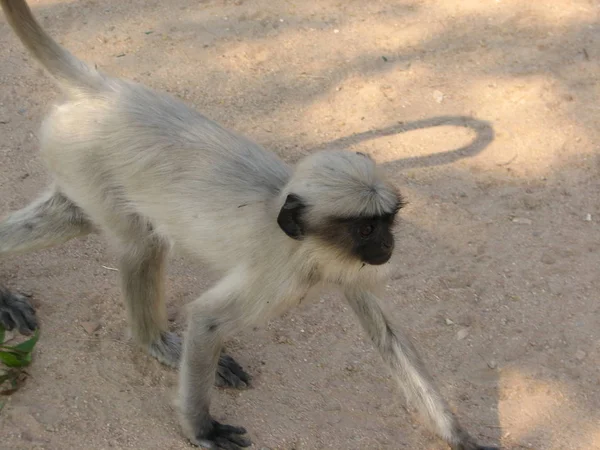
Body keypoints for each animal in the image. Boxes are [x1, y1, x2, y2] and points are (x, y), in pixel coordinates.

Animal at [0, 1, 496, 448]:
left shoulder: (347, 267)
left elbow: (388, 337)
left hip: (77, 164)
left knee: (72, 218)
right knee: (143, 245)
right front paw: (201, 429)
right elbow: (206, 319)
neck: (302, 241)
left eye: (387, 221)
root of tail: (108, 90)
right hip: (84, 156)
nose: (388, 246)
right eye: (365, 229)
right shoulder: (280, 276)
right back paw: (157, 343)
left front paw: (460, 437)